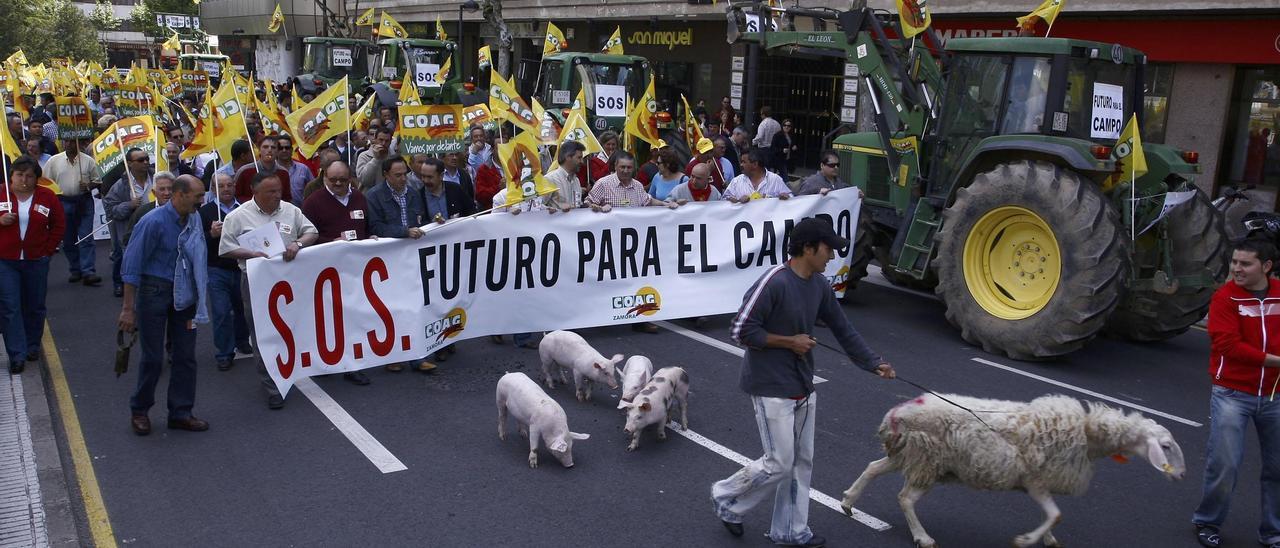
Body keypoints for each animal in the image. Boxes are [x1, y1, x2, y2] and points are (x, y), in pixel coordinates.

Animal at [839, 394, 1187, 548]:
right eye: (1166, 446)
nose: (1182, 476)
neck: (1090, 434)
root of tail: (898, 411)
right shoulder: (1036, 481)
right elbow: (1055, 513)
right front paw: (1027, 539)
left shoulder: (1041, 482)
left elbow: (1053, 515)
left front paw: (1048, 539)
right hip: (928, 459)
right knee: (906, 498)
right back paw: (923, 538)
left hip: (909, 455)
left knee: (873, 468)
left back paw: (848, 501)